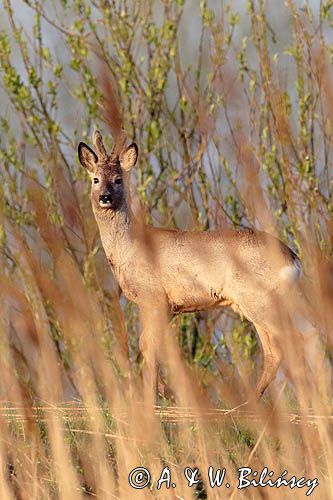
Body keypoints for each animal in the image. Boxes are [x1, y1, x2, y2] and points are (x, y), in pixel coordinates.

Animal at [78, 129, 304, 398]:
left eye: (118, 179)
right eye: (95, 179)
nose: (105, 197)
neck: (130, 246)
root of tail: (293, 259)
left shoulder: (153, 295)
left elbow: (147, 344)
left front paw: (153, 397)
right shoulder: (170, 306)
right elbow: (148, 344)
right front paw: (165, 393)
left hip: (259, 299)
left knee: (292, 343)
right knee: (276, 351)